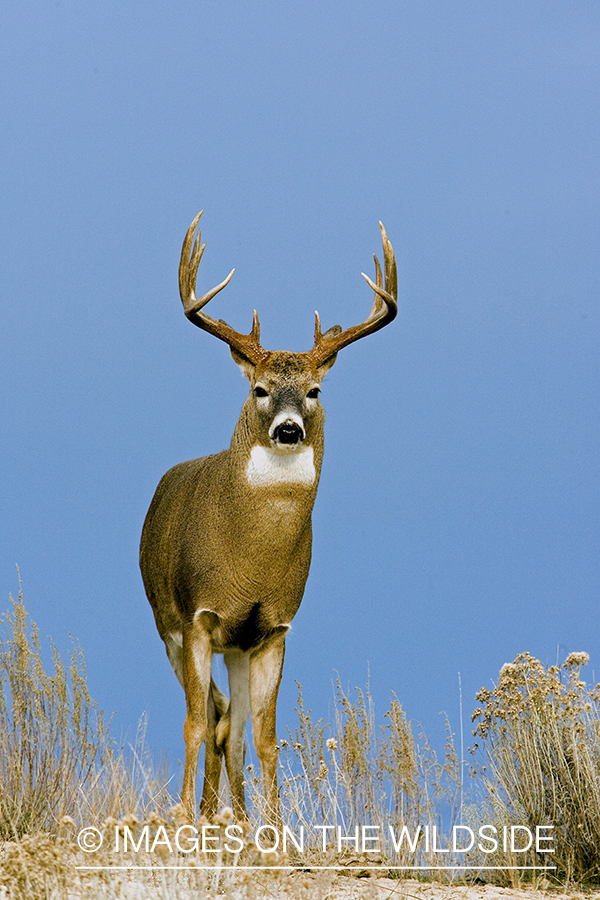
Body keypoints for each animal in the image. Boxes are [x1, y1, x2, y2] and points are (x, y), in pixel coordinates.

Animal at [138, 209, 396, 824]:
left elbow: (266, 737)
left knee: (230, 726)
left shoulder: (273, 626)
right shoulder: (198, 617)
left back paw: (227, 815)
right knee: (210, 718)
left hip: (236, 645)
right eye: (258, 389)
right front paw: (181, 820)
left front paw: (275, 830)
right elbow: (194, 724)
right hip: (167, 625)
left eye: (314, 390)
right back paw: (203, 814)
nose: (288, 428)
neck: (251, 560)